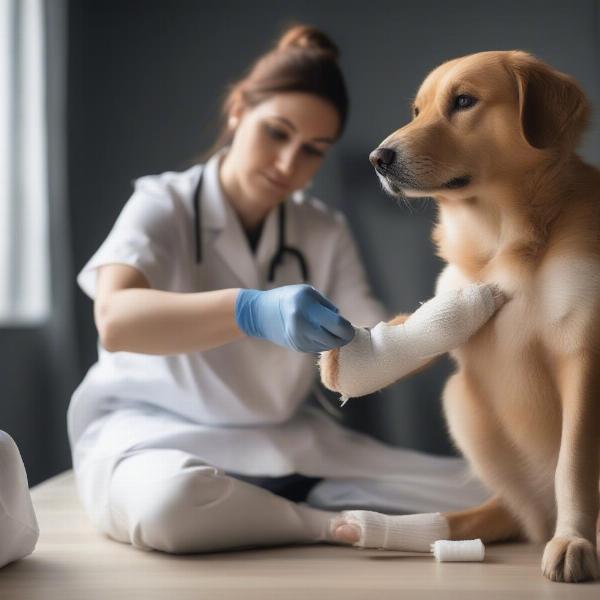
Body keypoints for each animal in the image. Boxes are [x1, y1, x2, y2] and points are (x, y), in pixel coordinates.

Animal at [324, 51, 600, 580]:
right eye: (416, 111)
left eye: (464, 101)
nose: (377, 159)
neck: (505, 239)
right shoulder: (448, 311)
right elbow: (404, 341)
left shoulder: (582, 357)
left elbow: (574, 466)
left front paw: (574, 541)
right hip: (461, 402)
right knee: (494, 516)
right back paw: (378, 527)